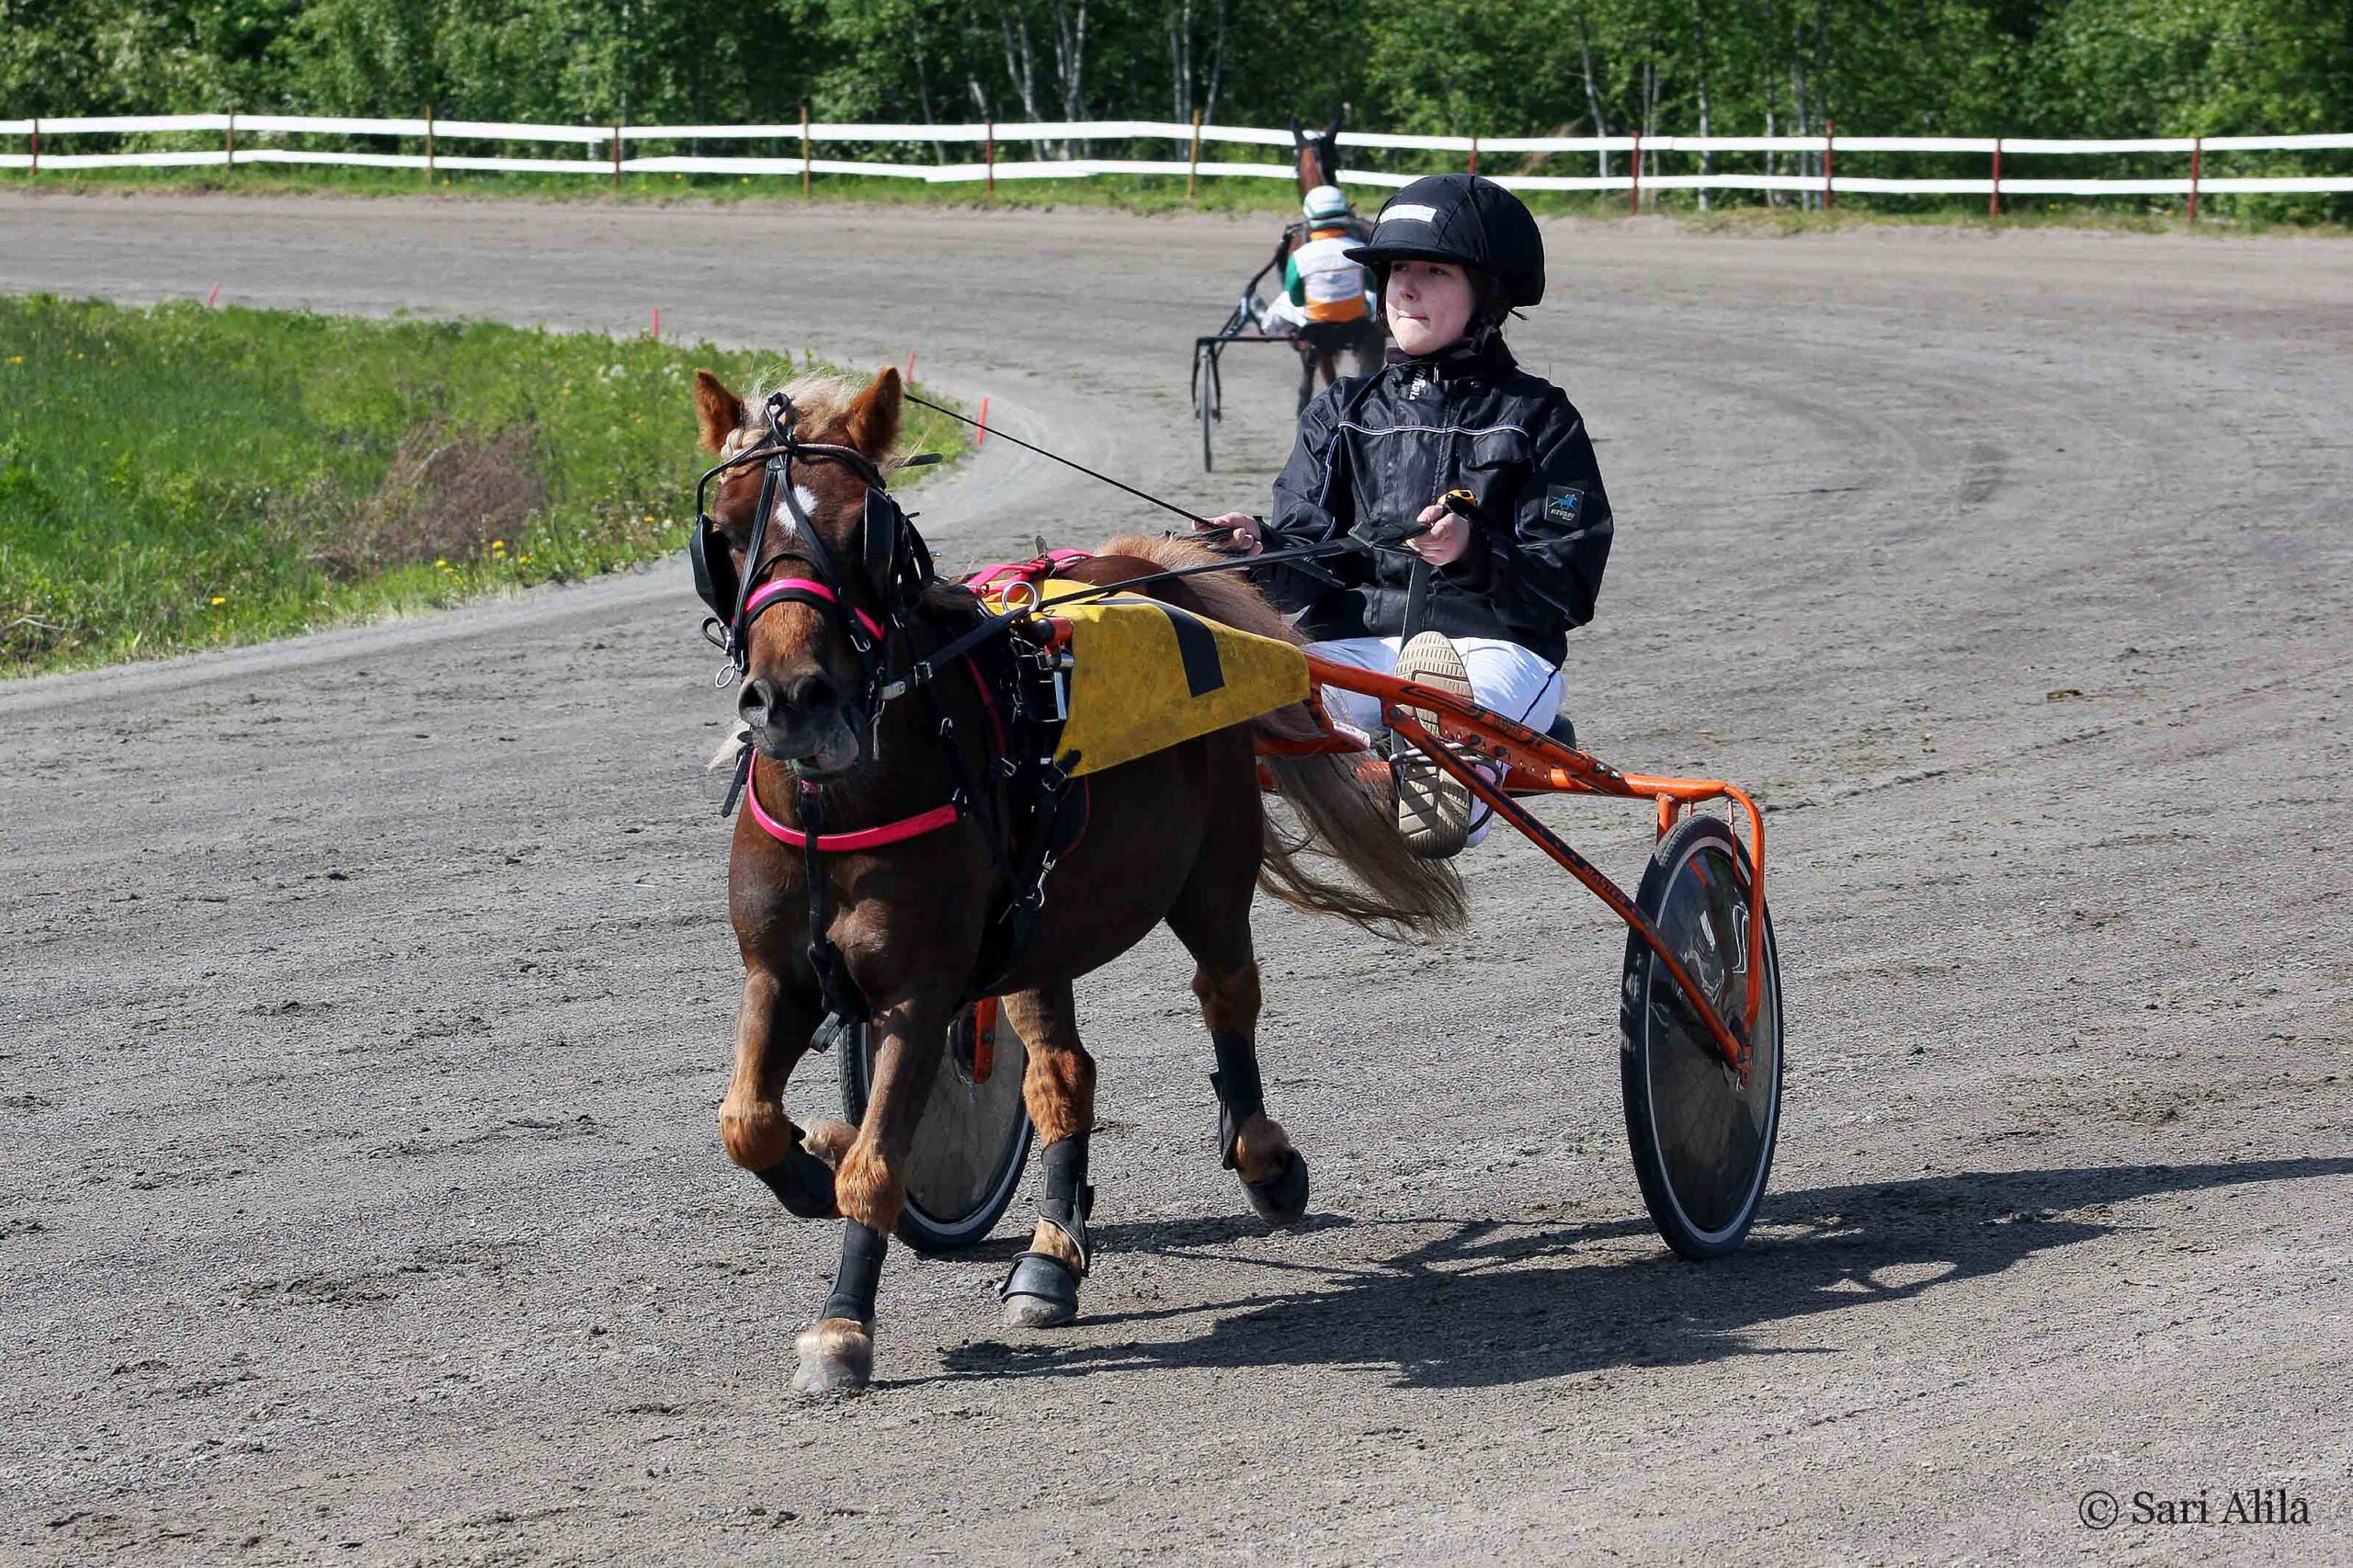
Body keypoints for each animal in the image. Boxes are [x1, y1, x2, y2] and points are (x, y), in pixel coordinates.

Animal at [692, 365, 1465, 1394]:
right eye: (727, 525)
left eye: (866, 524)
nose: (792, 700)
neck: (841, 804)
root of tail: (1136, 569)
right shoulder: (776, 970)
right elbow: (746, 1120)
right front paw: (813, 1166)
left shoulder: (921, 989)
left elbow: (880, 1162)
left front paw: (840, 1325)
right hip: (1038, 931)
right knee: (1062, 1074)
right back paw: (1051, 1255)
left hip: (1210, 873)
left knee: (1227, 993)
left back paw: (1264, 1160)